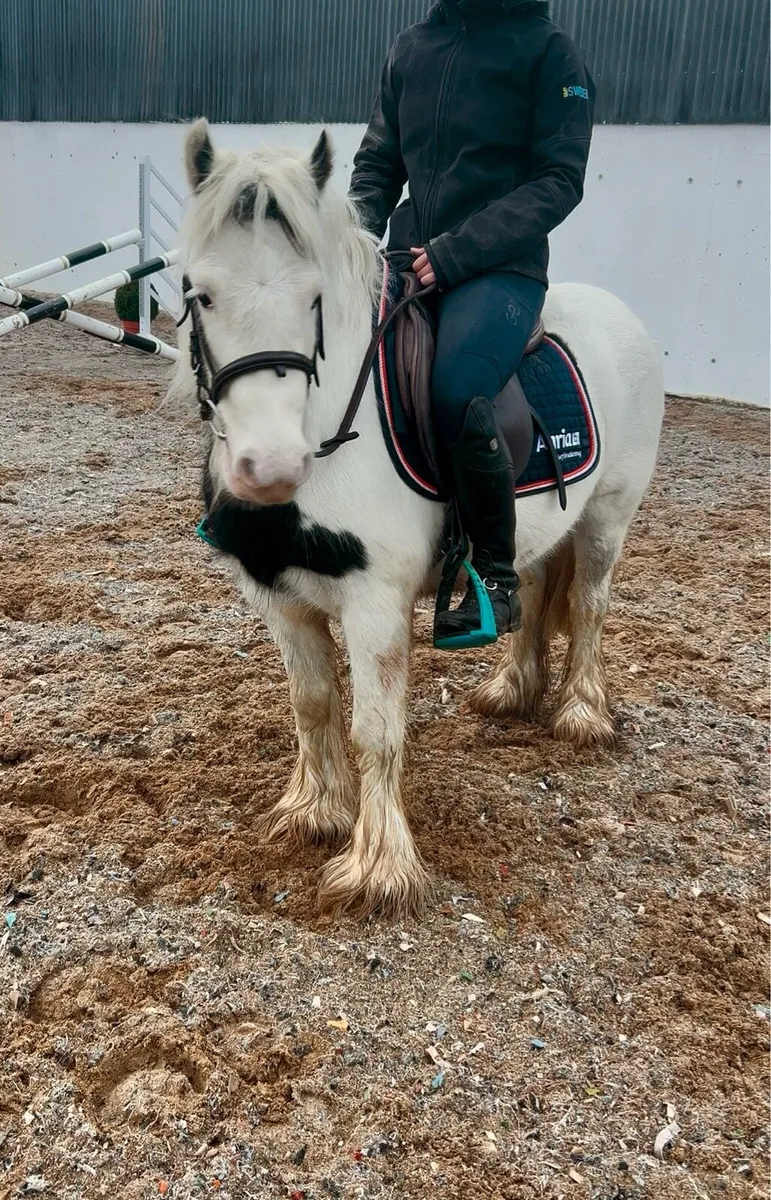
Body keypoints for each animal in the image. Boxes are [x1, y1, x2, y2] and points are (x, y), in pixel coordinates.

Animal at [169, 119, 664, 918]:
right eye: (200, 294)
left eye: (315, 297)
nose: (270, 468)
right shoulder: (280, 598)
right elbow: (311, 703)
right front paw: (313, 813)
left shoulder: (375, 603)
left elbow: (376, 729)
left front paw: (378, 869)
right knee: (529, 593)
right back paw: (511, 690)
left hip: (607, 519)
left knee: (589, 605)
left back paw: (581, 715)